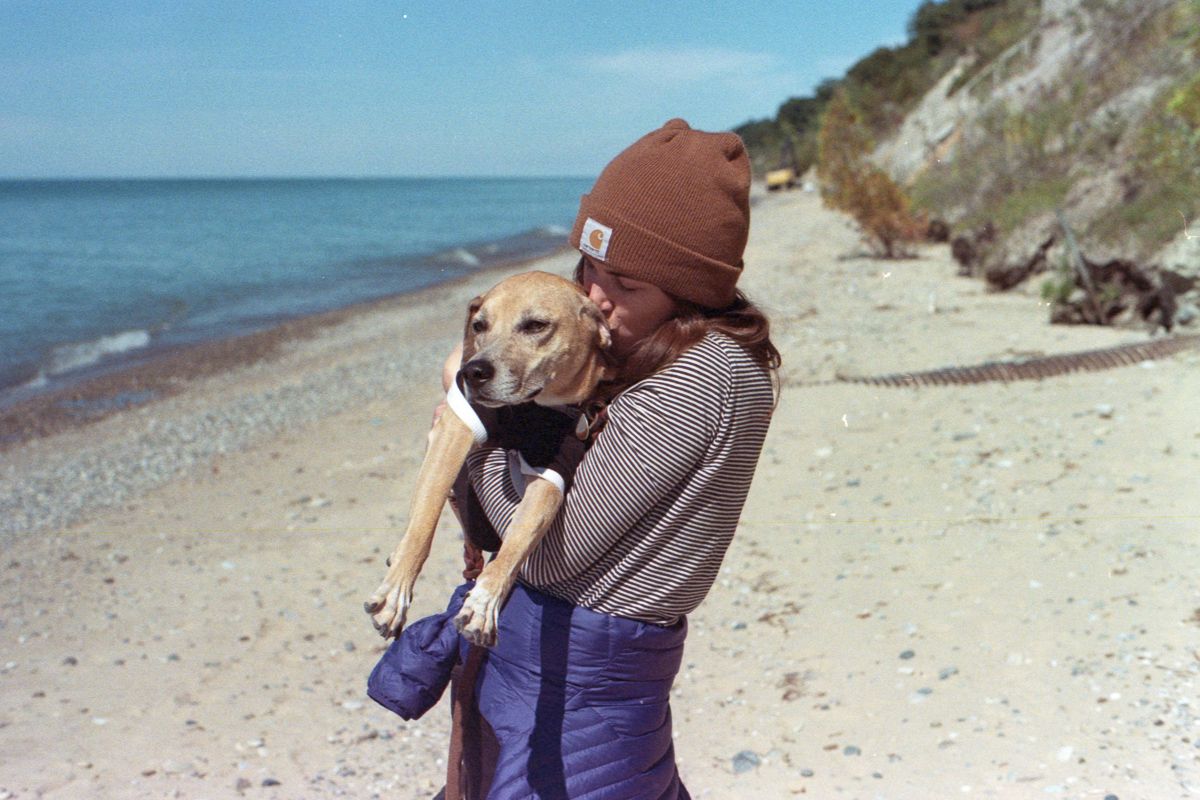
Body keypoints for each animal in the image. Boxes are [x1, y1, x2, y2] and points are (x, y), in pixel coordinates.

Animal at [362, 272, 609, 647]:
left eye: (535, 326)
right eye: (479, 325)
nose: (473, 371)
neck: (526, 409)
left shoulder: (550, 474)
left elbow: (516, 542)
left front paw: (485, 600)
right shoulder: (456, 428)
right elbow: (424, 521)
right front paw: (396, 594)